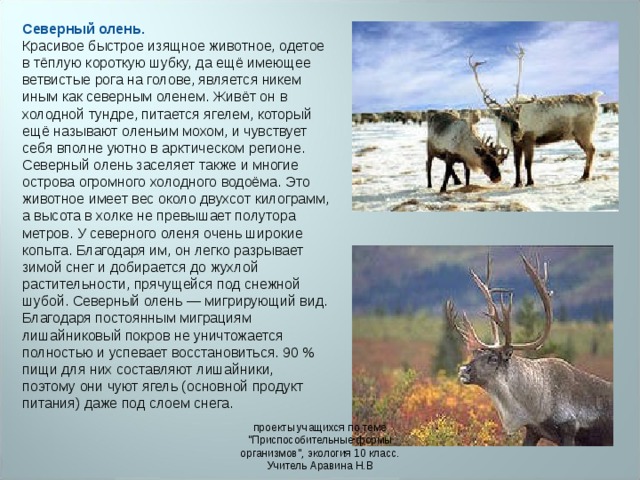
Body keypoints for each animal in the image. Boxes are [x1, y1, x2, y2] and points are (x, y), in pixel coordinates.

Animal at [468, 47, 602, 187]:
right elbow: (517, 163)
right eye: (503, 117)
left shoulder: (529, 138)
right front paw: (517, 183)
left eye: (518, 113)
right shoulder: (516, 143)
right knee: (589, 150)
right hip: (577, 135)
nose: (517, 132)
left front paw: (530, 182)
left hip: (584, 132)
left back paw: (584, 176)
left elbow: (528, 162)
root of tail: (592, 98)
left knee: (591, 150)